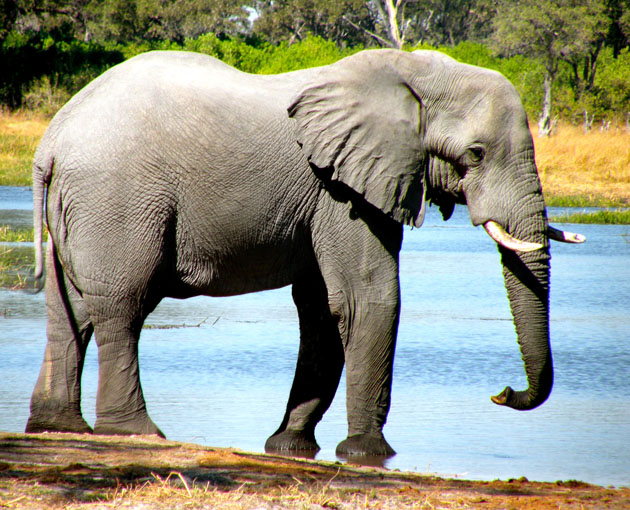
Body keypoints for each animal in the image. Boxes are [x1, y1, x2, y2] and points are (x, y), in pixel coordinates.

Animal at [25, 46, 588, 454]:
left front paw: (290, 446)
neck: (413, 70)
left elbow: (321, 309)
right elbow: (366, 298)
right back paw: (137, 433)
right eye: (475, 154)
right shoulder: (342, 188)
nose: (502, 393)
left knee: (69, 309)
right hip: (117, 198)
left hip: (79, 208)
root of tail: (52, 141)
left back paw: (58, 427)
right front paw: (367, 453)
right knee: (123, 304)